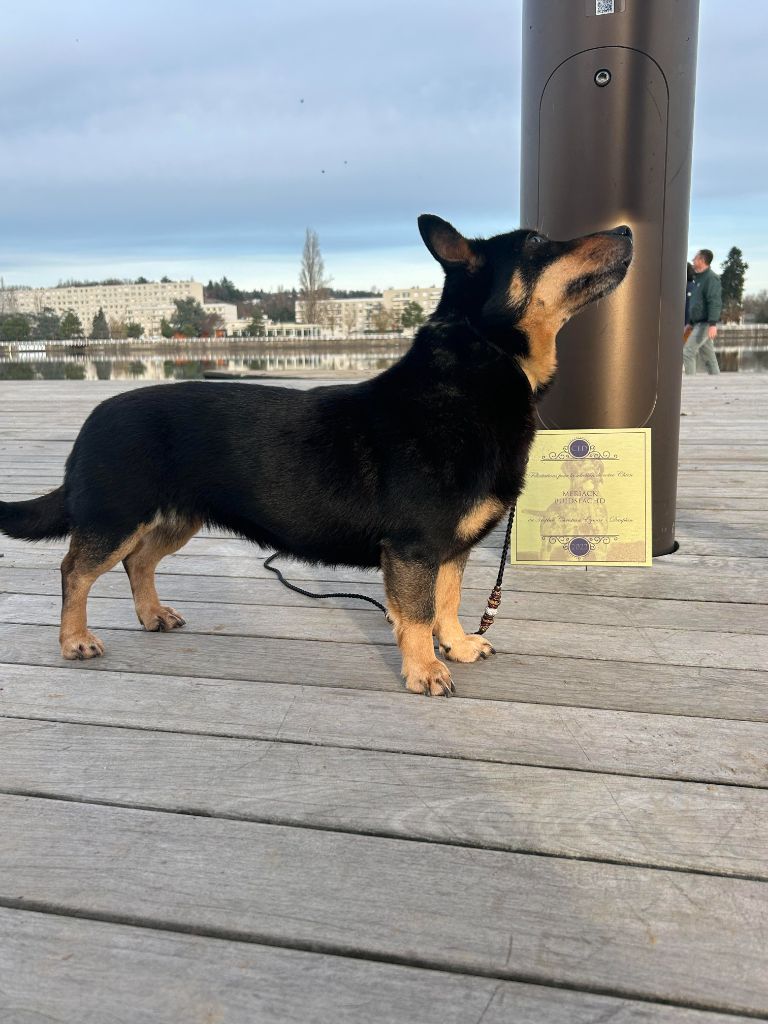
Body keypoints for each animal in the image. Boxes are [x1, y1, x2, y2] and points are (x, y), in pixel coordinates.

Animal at [0, 216, 630, 696]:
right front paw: (425, 669)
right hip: (117, 517)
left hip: (177, 518)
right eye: (537, 242)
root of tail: (90, 423)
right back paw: (75, 640)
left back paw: (152, 615)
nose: (626, 230)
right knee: (75, 571)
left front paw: (456, 645)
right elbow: (417, 614)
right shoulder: (415, 548)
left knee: (139, 563)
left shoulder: (450, 549)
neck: (478, 369)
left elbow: (447, 603)